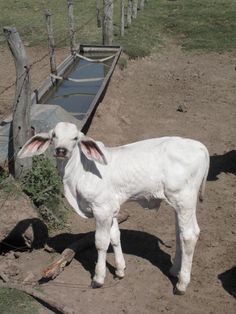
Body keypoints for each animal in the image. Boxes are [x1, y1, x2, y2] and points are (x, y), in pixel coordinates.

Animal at [18, 122, 210, 294]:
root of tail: (200, 147)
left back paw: (181, 285)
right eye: (54, 136)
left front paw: (98, 278)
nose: (61, 151)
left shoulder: (101, 209)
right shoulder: (111, 207)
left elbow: (101, 242)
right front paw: (120, 270)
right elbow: (115, 236)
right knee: (180, 233)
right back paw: (175, 271)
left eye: (75, 138)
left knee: (190, 235)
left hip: (184, 199)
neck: (78, 173)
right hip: (178, 204)